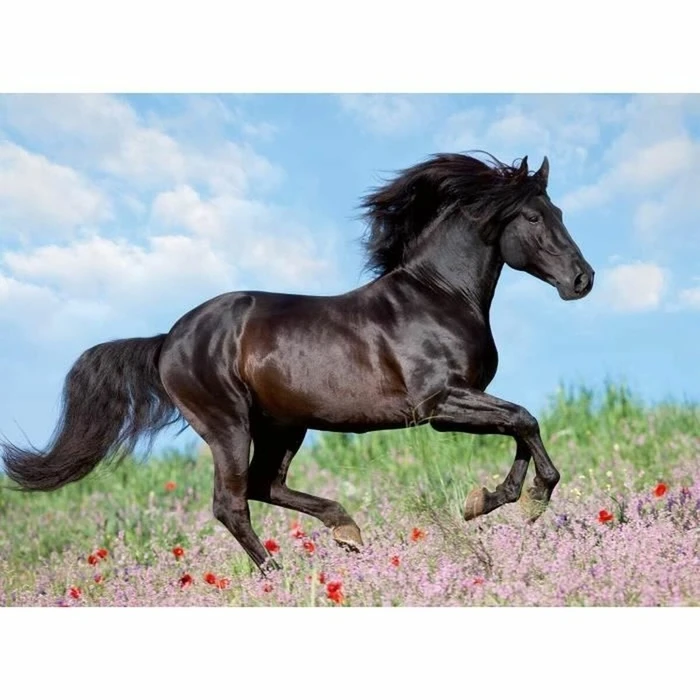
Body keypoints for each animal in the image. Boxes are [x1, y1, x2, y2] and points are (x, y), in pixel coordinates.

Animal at [2, 152, 594, 573]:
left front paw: (491, 500)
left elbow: (519, 426)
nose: (582, 280)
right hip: (228, 424)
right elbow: (524, 420)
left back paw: (347, 531)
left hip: (284, 424)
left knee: (265, 485)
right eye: (534, 216)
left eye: (561, 213)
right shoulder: (439, 405)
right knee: (232, 502)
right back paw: (278, 574)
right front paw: (529, 500)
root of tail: (168, 339)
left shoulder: (461, 402)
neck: (439, 295)